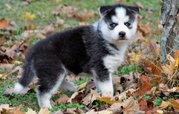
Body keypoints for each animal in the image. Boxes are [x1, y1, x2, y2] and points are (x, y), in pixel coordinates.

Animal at [9, 4, 138, 108]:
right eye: (113, 24)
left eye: (127, 24)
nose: (122, 33)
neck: (105, 38)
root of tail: (32, 50)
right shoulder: (101, 68)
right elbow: (108, 88)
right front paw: (109, 99)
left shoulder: (99, 73)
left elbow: (100, 85)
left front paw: (101, 96)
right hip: (53, 70)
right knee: (43, 90)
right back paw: (46, 107)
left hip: (58, 70)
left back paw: (71, 88)